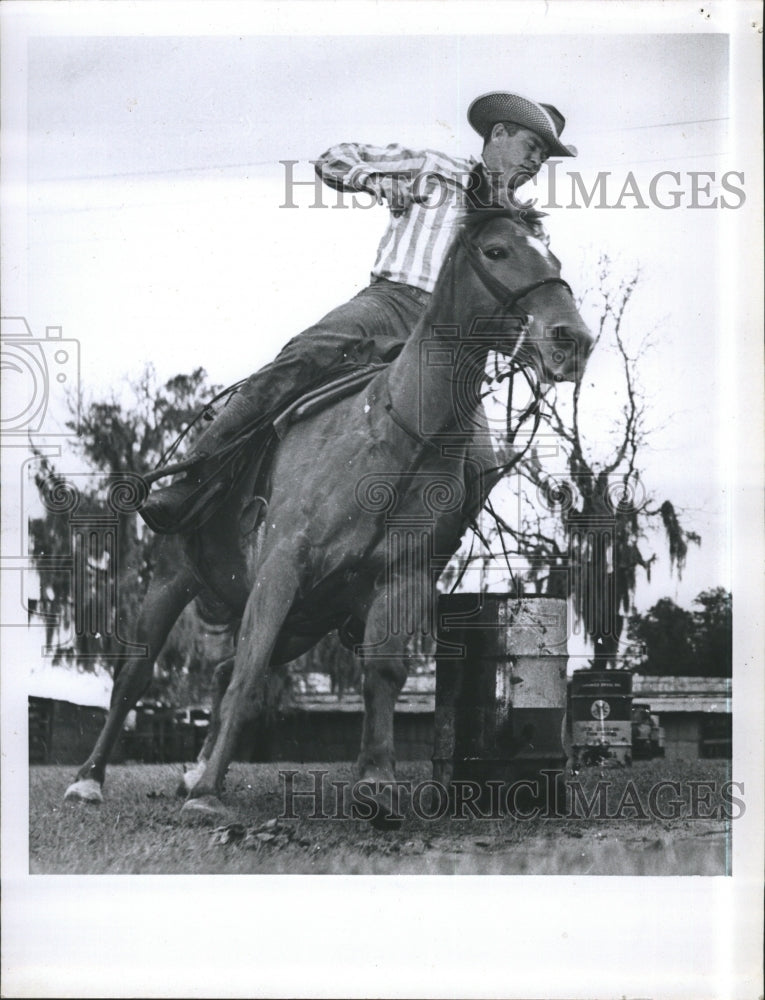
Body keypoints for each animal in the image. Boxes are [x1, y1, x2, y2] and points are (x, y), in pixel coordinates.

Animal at [62, 207, 592, 824]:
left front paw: (377, 785)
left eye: (553, 257)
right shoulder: (281, 568)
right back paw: (90, 780)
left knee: (219, 671)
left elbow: (380, 673)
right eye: (497, 251)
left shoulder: (399, 577)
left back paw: (193, 767)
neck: (391, 434)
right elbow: (248, 673)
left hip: (305, 619)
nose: (574, 340)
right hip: (174, 576)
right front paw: (209, 795)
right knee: (136, 673)